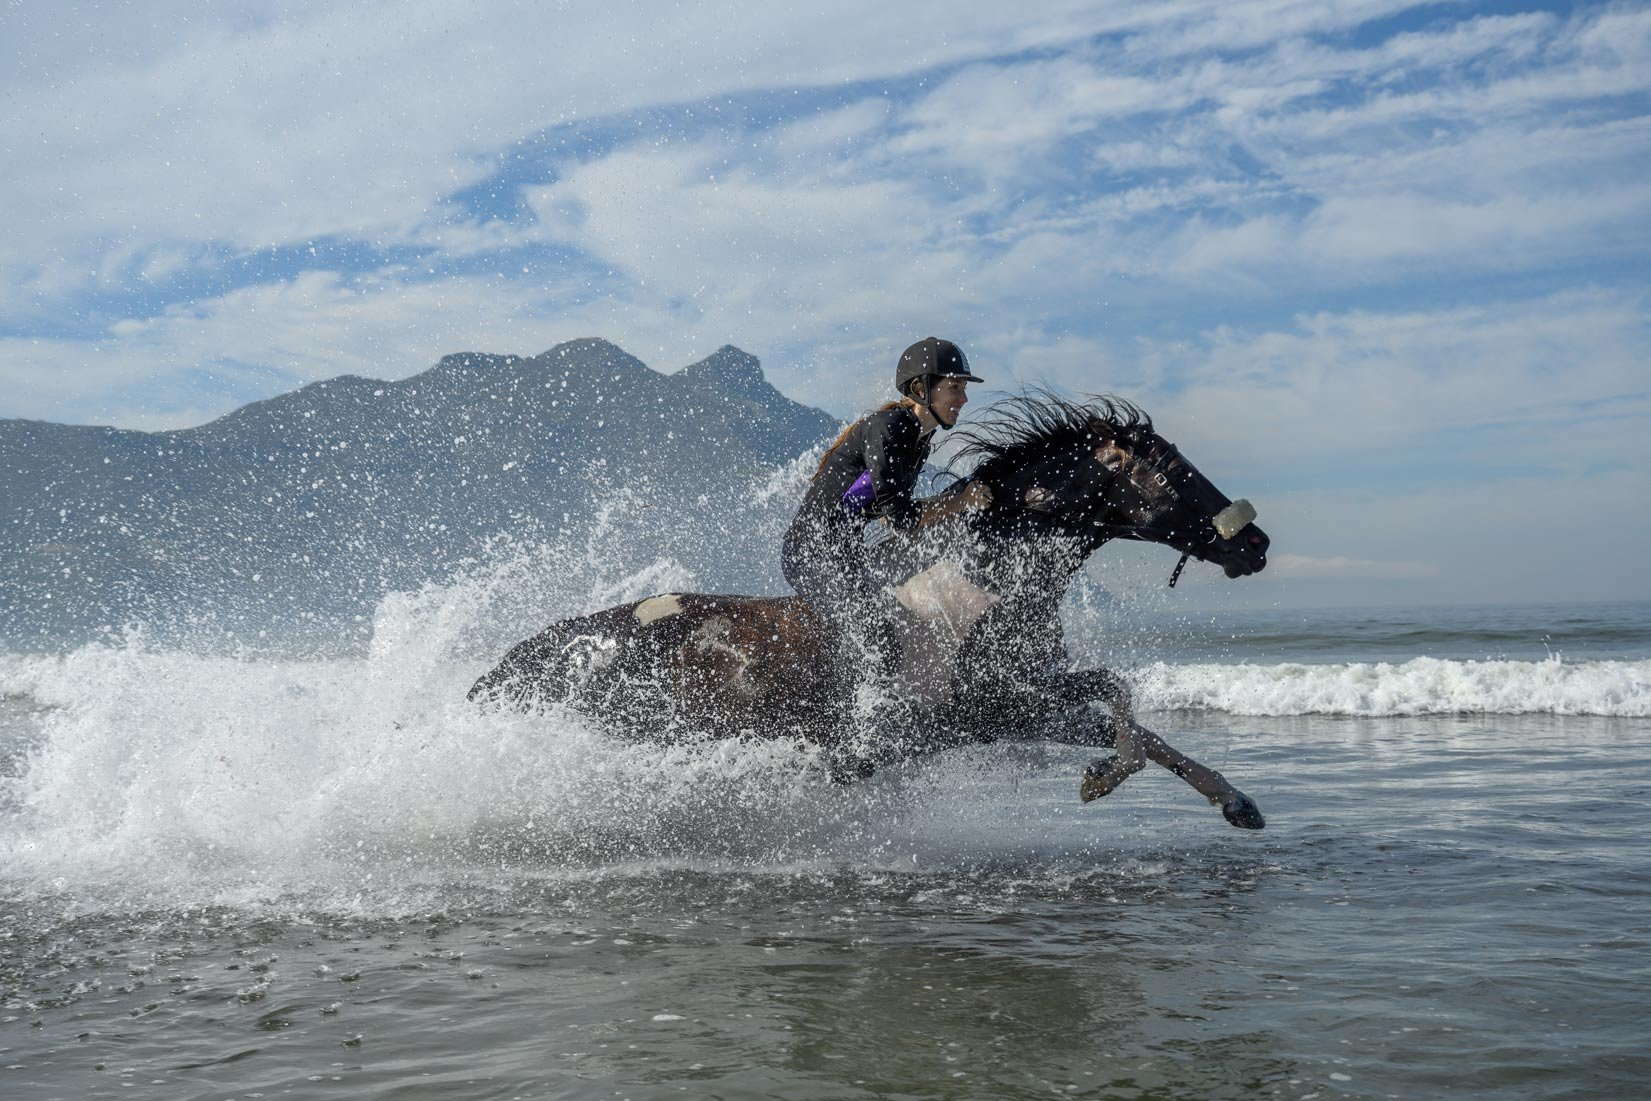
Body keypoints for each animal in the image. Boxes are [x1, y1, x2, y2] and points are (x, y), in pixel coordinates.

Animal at [469, 392, 1272, 828]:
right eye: (1171, 473)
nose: (1256, 544)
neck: (982, 578)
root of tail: (535, 652)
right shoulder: (985, 703)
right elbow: (1120, 701)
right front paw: (1104, 777)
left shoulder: (1010, 702)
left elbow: (1131, 716)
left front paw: (1234, 802)